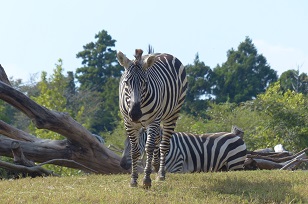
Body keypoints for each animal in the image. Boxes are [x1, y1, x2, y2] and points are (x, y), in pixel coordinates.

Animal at [116, 48, 186, 187]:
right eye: (126, 83)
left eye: (145, 83)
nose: (135, 114)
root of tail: (163, 53)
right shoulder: (129, 123)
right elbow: (135, 151)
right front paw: (133, 179)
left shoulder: (152, 121)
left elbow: (148, 147)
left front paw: (146, 180)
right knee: (157, 140)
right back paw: (156, 165)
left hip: (172, 114)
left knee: (164, 144)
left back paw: (161, 173)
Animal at [120, 126, 248, 173]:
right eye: (125, 144)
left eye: (134, 146)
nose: (122, 164)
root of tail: (236, 136)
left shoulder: (177, 169)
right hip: (223, 167)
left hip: (235, 164)